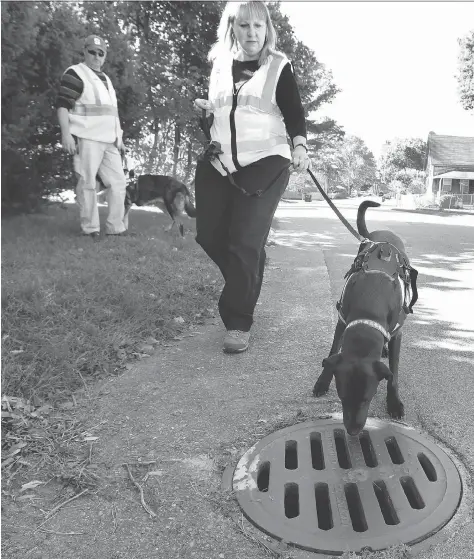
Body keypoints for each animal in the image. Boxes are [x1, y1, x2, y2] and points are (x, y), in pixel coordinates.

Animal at [312, 201, 418, 438]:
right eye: (342, 397)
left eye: (367, 399)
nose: (352, 431)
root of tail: (379, 235)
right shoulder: (342, 322)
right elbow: (333, 352)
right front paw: (322, 381)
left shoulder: (397, 332)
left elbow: (393, 374)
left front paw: (394, 403)